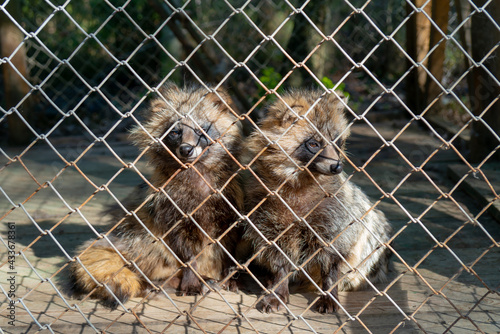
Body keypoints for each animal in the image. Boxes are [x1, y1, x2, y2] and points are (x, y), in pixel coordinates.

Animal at [68, 82, 244, 306]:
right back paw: (164, 281)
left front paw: (231, 272)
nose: (186, 150)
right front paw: (191, 279)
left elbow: (228, 246)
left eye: (201, 129)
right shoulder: (172, 210)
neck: (194, 171)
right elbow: (187, 254)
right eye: (175, 132)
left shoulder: (228, 209)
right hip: (140, 233)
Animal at [244, 89, 392, 314]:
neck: (300, 181)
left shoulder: (335, 217)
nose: (337, 167)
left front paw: (329, 290)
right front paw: (278, 285)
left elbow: (331, 259)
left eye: (337, 142)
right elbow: (278, 258)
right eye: (314, 144)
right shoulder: (267, 217)